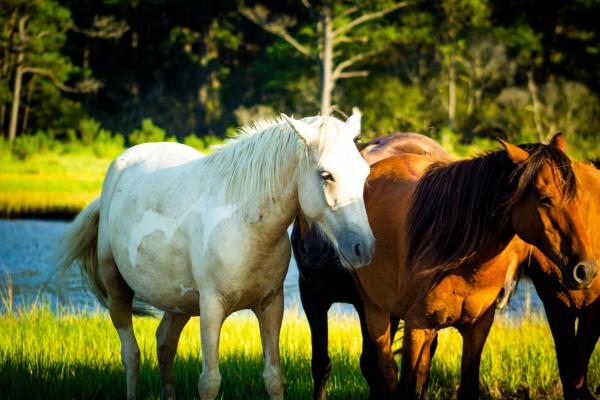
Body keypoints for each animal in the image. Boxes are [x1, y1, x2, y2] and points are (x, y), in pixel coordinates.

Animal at [55, 110, 376, 400]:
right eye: (326, 175)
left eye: (363, 173)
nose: (364, 247)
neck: (244, 223)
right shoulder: (211, 308)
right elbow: (209, 383)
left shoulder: (271, 305)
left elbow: (273, 378)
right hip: (118, 289)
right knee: (131, 354)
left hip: (179, 304)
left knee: (164, 345)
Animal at [354, 135, 596, 400]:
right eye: (544, 198)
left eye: (577, 197)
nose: (586, 270)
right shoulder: (418, 326)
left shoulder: (477, 329)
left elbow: (467, 386)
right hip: (375, 309)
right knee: (385, 370)